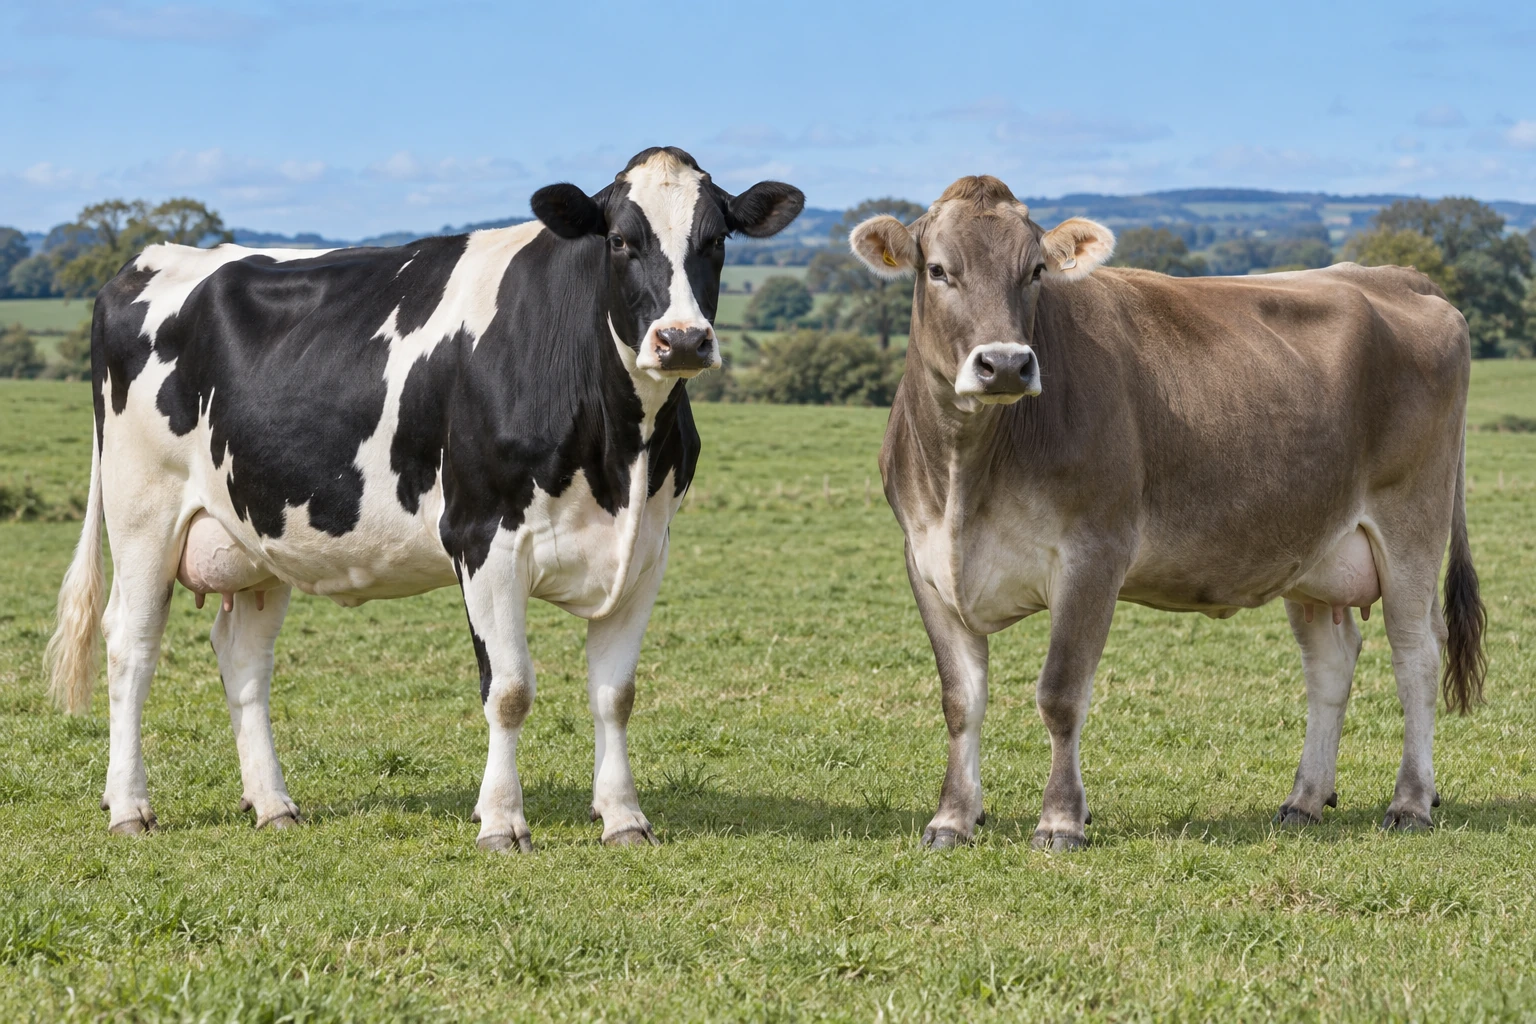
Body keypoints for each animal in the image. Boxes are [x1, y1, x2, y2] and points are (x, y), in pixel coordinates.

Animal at [45, 147, 804, 852]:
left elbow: (615, 695)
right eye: (620, 240)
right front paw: (501, 822)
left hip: (256, 533)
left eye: (716, 240)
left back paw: (273, 804)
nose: (683, 339)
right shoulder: (484, 537)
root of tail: (146, 260)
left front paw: (623, 818)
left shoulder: (644, 551)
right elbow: (510, 690)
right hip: (143, 510)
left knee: (243, 659)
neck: (619, 449)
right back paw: (130, 808)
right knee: (132, 645)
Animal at [849, 175, 1486, 851]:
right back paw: (1305, 800)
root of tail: (1398, 276)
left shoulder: (1094, 552)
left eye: (1036, 270)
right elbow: (960, 700)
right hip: (1315, 547)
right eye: (938, 270)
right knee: (1330, 663)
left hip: (1412, 523)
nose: (1007, 364)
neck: (965, 480)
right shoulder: (926, 560)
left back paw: (1411, 802)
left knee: (1417, 653)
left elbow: (1060, 694)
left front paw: (1061, 821)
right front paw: (952, 818)